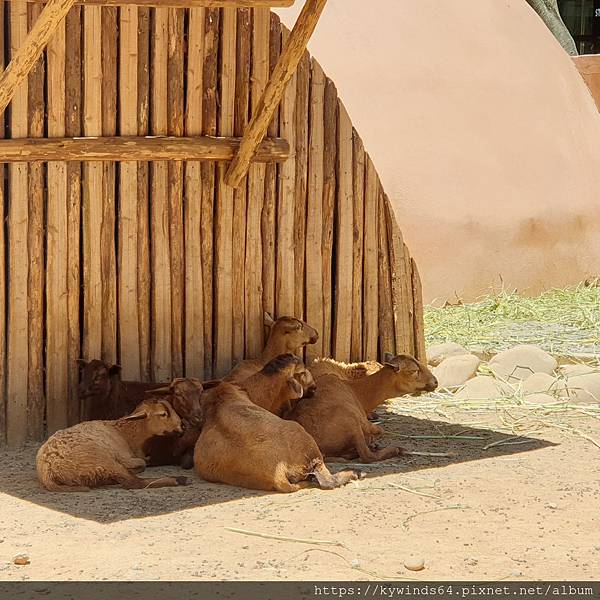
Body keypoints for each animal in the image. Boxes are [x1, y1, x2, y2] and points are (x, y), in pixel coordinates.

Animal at [37, 398, 188, 492]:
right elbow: (142, 463)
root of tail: (48, 471)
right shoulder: (124, 457)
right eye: (163, 414)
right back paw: (178, 480)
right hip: (103, 459)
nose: (183, 426)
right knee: (132, 482)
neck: (126, 432)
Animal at [284, 354, 438, 462]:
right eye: (414, 370)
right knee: (367, 456)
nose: (435, 382)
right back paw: (396, 449)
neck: (358, 391)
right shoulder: (363, 421)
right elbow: (379, 431)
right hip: (351, 422)